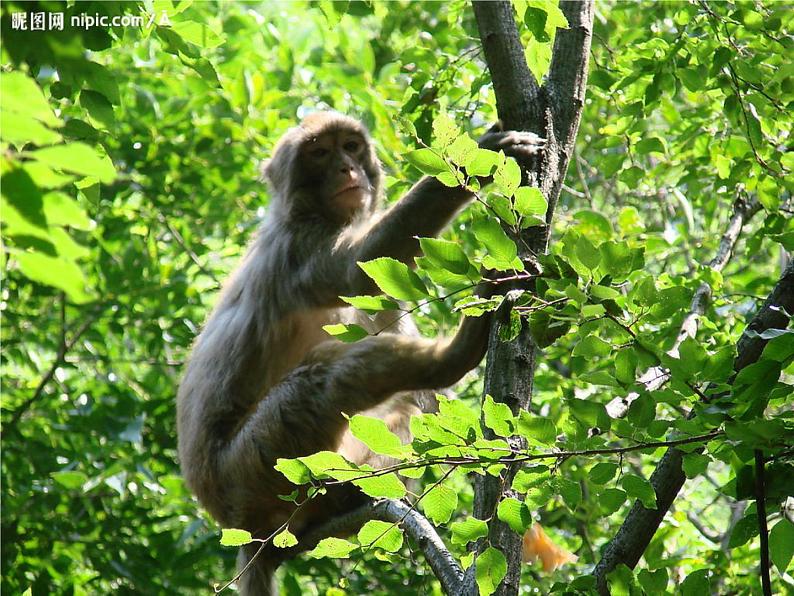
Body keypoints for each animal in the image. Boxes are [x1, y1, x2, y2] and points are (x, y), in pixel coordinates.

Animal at [175, 110, 544, 592]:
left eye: (349, 147)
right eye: (319, 153)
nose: (346, 169)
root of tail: (237, 524)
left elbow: (423, 400)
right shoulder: (299, 248)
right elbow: (358, 267)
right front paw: (475, 162)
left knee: (406, 405)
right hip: (253, 470)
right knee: (321, 379)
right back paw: (453, 358)